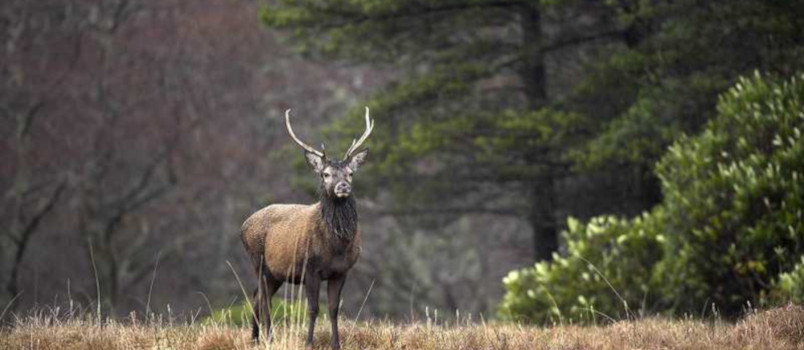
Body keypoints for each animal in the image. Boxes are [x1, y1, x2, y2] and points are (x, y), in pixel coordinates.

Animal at [242, 108, 374, 348]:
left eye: (350, 173)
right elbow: (313, 309)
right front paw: (309, 342)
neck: (336, 247)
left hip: (275, 272)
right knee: (264, 299)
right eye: (326, 174)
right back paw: (269, 337)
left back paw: (255, 339)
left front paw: (336, 344)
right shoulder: (310, 269)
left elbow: (333, 309)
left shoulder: (342, 271)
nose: (343, 186)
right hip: (257, 260)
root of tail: (243, 225)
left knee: (257, 296)